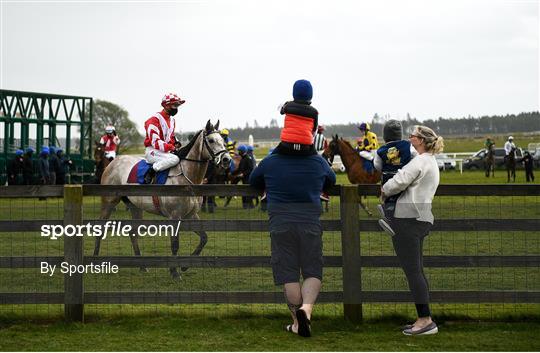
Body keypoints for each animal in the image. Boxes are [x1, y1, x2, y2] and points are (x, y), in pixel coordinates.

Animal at [96, 119, 231, 280]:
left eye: (222, 140)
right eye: (211, 140)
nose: (226, 159)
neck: (186, 177)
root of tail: (113, 162)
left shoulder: (191, 215)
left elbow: (204, 238)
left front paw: (185, 266)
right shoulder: (174, 216)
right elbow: (175, 244)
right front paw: (174, 272)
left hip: (135, 206)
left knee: (133, 233)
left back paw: (142, 266)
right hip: (109, 202)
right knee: (100, 229)